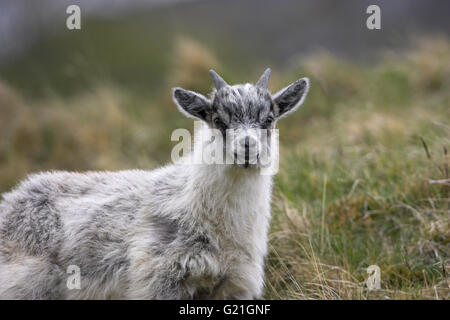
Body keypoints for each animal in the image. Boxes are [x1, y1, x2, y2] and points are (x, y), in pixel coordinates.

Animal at [0, 69, 310, 298]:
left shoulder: (234, 284)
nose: (247, 147)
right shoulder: (159, 279)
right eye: (218, 120)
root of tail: (12, 198)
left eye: (269, 119)